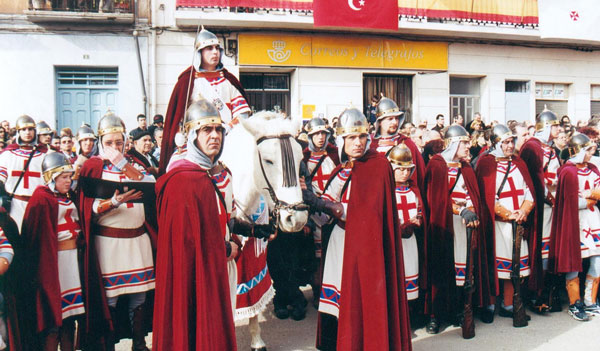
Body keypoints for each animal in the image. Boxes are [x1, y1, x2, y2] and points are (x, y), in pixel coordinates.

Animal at [220, 112, 310, 351]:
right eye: (268, 160)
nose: (296, 219)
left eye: (300, 158)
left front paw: (257, 341)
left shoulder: (252, 261)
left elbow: (253, 298)